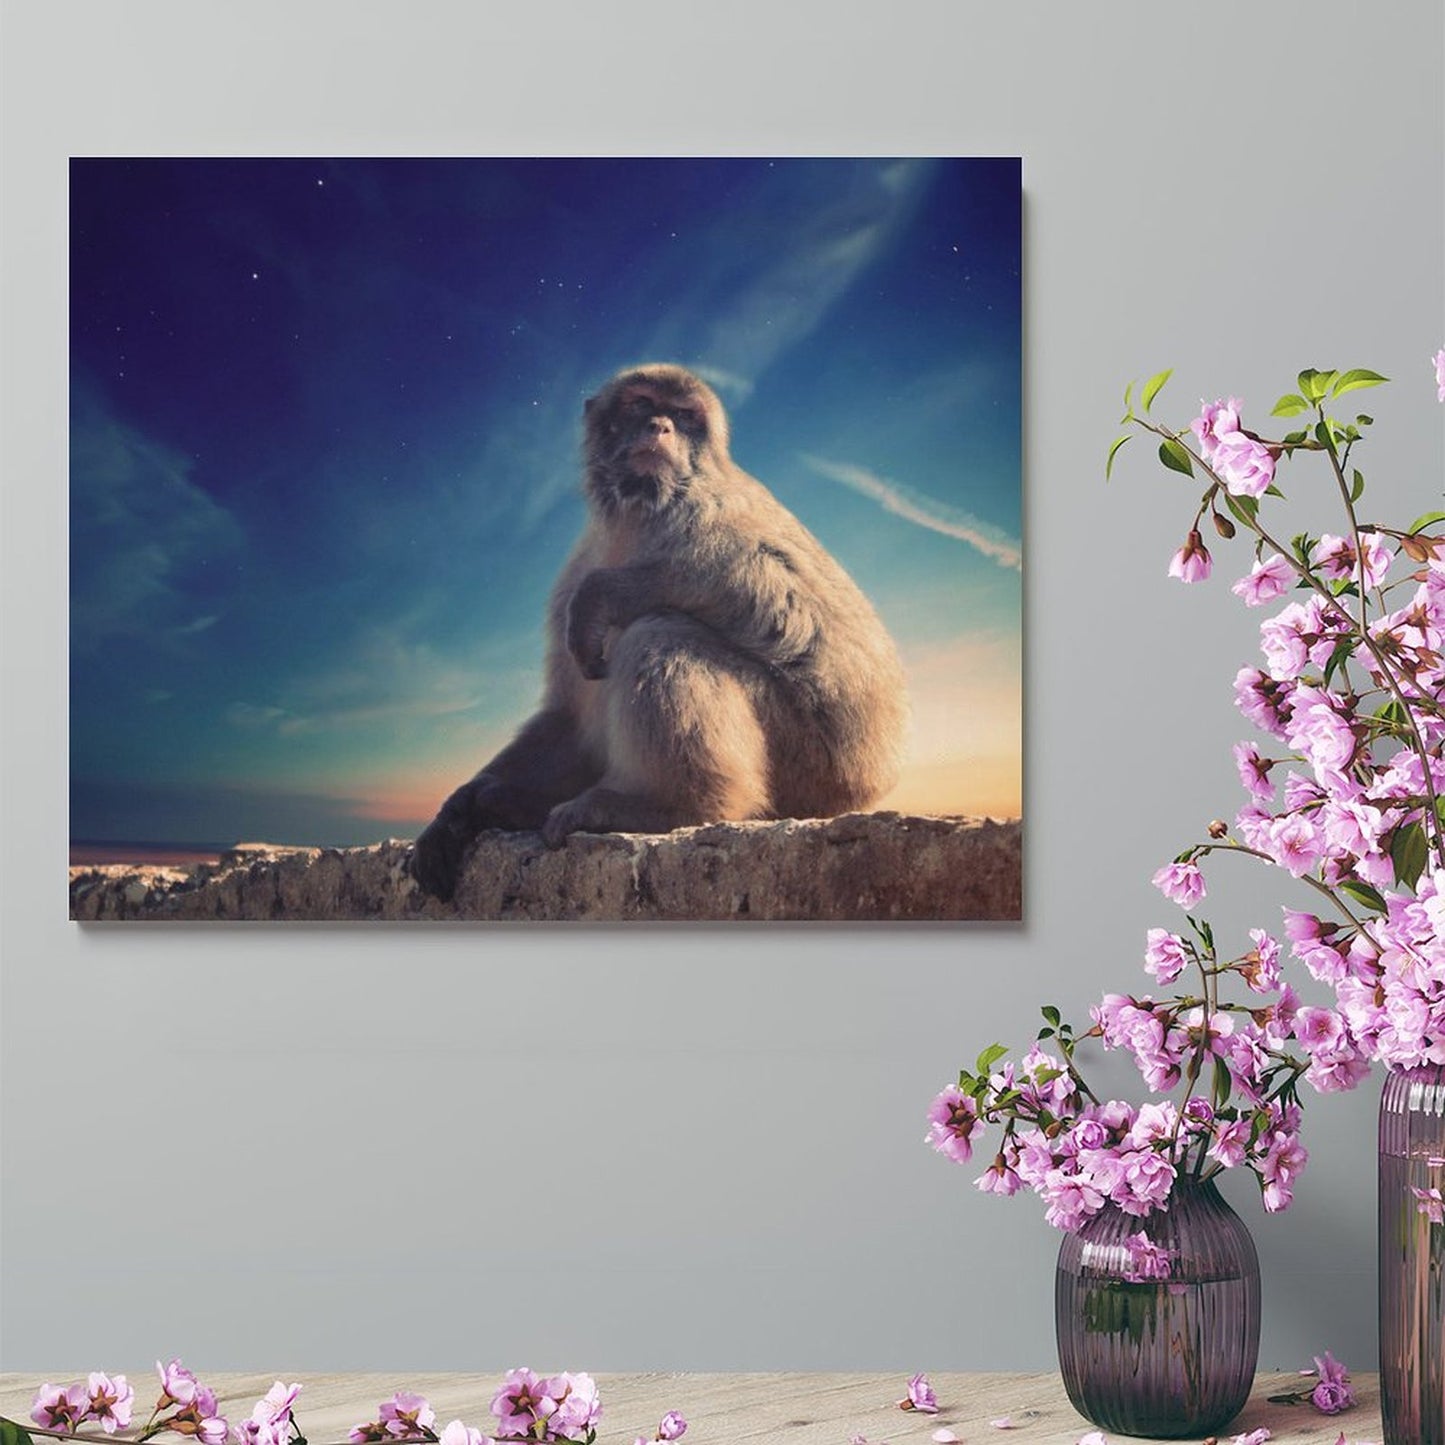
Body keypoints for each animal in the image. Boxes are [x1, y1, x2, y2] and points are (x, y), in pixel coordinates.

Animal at [409, 362, 908, 902]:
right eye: (641, 404)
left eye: (685, 416)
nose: (660, 427)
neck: (636, 513)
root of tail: (868, 782)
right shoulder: (574, 570)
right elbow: (569, 716)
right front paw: (457, 812)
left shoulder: (710, 508)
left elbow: (783, 596)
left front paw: (605, 592)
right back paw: (517, 804)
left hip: (810, 762)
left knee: (659, 632)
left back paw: (669, 806)